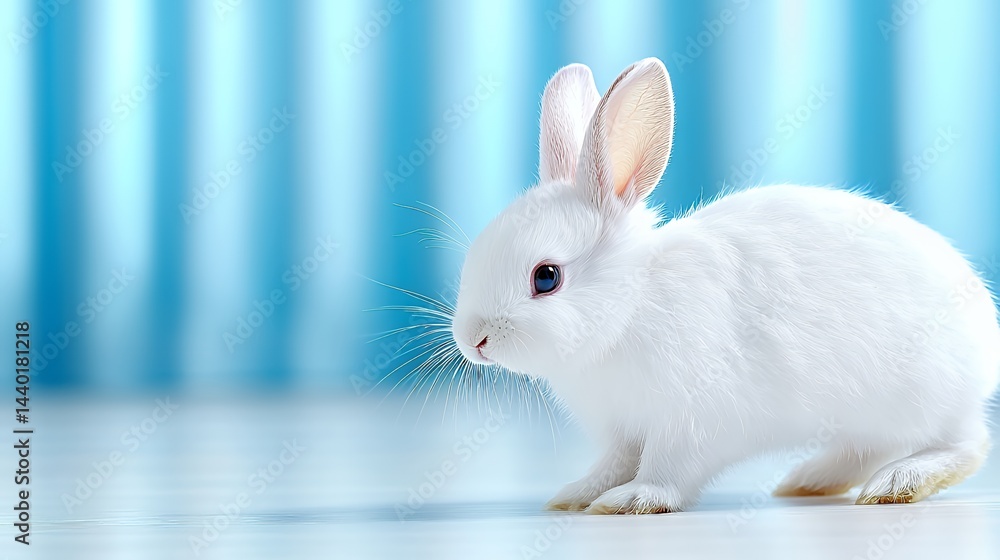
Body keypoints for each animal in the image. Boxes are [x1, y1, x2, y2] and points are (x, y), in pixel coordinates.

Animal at [449, 57, 1000, 514]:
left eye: (547, 277)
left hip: (924, 395)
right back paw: (808, 481)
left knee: (967, 445)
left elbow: (666, 468)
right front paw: (576, 495)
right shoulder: (624, 430)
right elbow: (613, 463)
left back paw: (897, 484)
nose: (474, 341)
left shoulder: (690, 420)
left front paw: (632, 501)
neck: (631, 307)